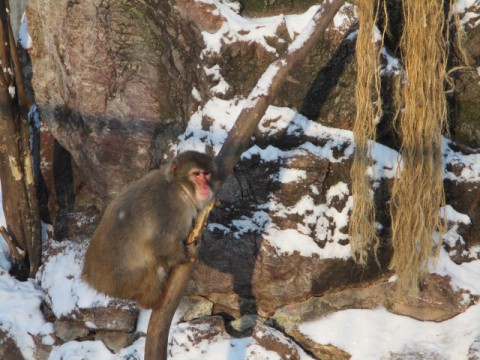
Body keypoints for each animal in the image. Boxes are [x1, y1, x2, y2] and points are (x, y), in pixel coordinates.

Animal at [82, 150, 216, 308]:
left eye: (207, 174)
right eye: (196, 174)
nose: (206, 186)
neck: (178, 187)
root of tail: (91, 279)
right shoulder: (171, 210)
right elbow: (160, 243)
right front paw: (188, 253)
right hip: (132, 283)